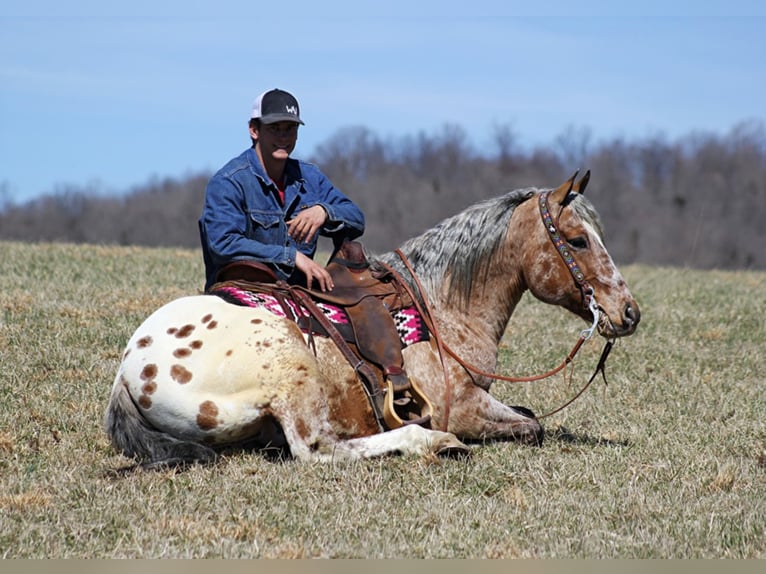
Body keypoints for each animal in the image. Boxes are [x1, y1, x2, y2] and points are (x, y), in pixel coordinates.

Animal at [103, 171, 640, 468]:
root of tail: (131, 370)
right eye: (577, 240)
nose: (628, 313)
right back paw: (433, 442)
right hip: (292, 369)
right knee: (317, 449)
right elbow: (532, 427)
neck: (441, 307)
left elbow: (527, 415)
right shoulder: (462, 408)